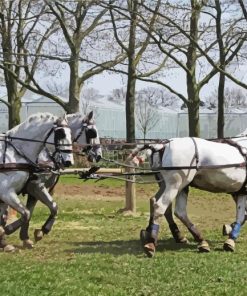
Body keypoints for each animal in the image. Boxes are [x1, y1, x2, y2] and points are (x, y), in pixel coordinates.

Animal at [0, 111, 101, 250]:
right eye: (92, 132)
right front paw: (7, 232)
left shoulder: (34, 190)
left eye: (70, 134)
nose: (99, 155)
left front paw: (36, 233)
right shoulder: (26, 188)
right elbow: (26, 213)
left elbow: (50, 208)